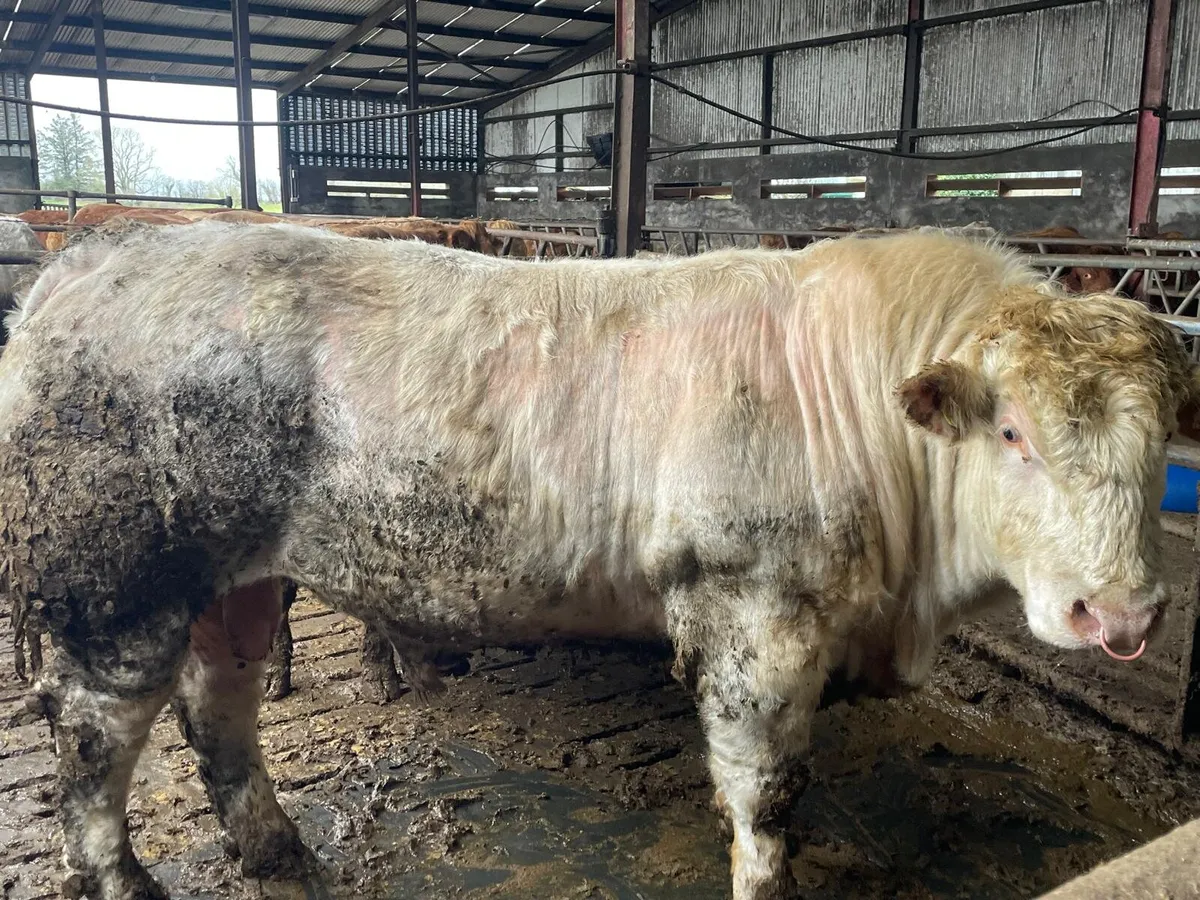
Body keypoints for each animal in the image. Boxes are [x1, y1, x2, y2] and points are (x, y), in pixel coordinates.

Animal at [0, 223, 1194, 900]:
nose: (1122, 617)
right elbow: (768, 790)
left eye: (1158, 448)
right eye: (1014, 434)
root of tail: (83, 268)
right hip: (118, 586)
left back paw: (276, 848)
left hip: (235, 576)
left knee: (220, 704)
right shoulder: (752, 611)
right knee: (95, 741)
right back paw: (123, 879)